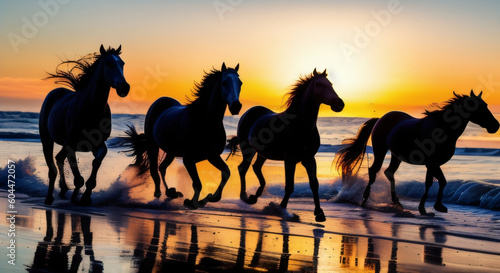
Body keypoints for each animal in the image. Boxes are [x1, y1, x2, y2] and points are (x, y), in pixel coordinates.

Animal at [40, 44, 130, 204]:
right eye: (108, 63)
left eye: (122, 63)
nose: (124, 87)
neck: (91, 109)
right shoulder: (71, 145)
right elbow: (78, 179)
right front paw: (77, 196)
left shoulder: (98, 145)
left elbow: (95, 164)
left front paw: (85, 197)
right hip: (47, 140)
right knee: (52, 166)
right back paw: (49, 197)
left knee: (59, 158)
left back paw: (63, 189)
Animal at [124, 63, 242, 208]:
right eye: (224, 82)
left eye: (240, 83)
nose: (236, 106)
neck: (205, 122)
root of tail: (160, 101)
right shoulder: (188, 159)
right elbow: (197, 183)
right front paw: (192, 202)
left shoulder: (212, 156)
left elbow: (226, 172)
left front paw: (212, 197)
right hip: (153, 145)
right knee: (154, 169)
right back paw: (158, 193)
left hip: (171, 151)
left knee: (162, 167)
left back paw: (171, 192)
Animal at [231, 68, 342, 221]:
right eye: (320, 85)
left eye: (330, 84)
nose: (340, 104)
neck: (300, 125)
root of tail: (248, 112)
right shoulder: (290, 160)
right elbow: (289, 186)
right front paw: (282, 209)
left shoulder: (309, 159)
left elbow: (314, 184)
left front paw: (319, 213)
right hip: (248, 149)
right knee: (243, 168)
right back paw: (245, 197)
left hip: (263, 153)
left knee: (256, 167)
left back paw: (255, 196)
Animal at [334, 90, 498, 214]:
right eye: (479, 108)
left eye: (486, 105)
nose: (496, 126)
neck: (442, 129)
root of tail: (381, 118)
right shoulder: (432, 163)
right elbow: (442, 181)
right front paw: (437, 206)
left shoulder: (432, 164)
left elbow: (429, 183)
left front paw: (424, 209)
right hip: (380, 150)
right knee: (374, 171)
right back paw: (364, 199)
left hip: (396, 156)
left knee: (389, 172)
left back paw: (396, 201)